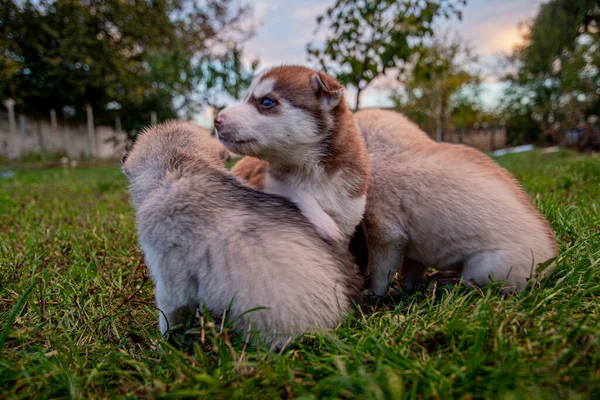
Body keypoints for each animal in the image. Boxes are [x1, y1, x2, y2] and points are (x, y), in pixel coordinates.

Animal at [213, 65, 368, 245]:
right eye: (244, 99)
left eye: (266, 102)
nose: (216, 120)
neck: (312, 169)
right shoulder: (261, 180)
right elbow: (292, 188)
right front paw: (324, 222)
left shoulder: (350, 209)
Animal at [352, 108, 556, 296]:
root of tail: (547, 268)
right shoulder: (414, 251)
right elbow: (409, 272)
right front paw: (403, 290)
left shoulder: (387, 235)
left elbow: (381, 274)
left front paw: (374, 294)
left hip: (483, 267)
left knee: (475, 286)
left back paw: (448, 283)